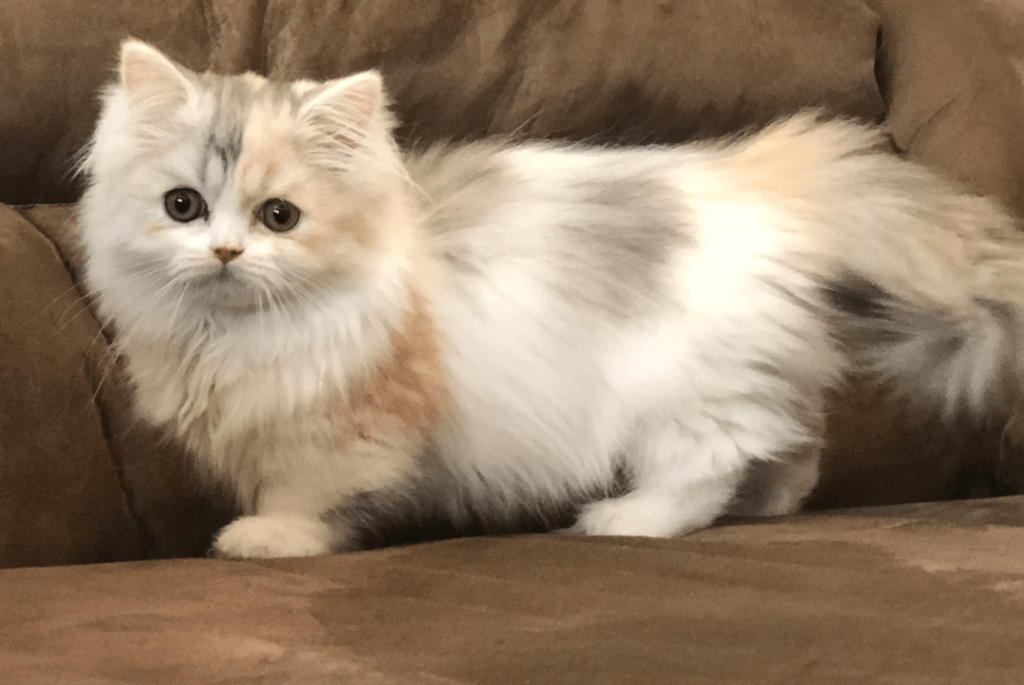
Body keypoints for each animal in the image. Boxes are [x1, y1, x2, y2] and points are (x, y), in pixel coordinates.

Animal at [77, 40, 1024, 557]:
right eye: (183, 207)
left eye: (280, 216)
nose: (226, 252)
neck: (225, 333)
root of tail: (760, 177)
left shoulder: (351, 423)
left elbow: (312, 495)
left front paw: (269, 540)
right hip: (756, 373)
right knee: (793, 443)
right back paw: (767, 507)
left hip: (685, 393)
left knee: (711, 462)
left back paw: (627, 520)